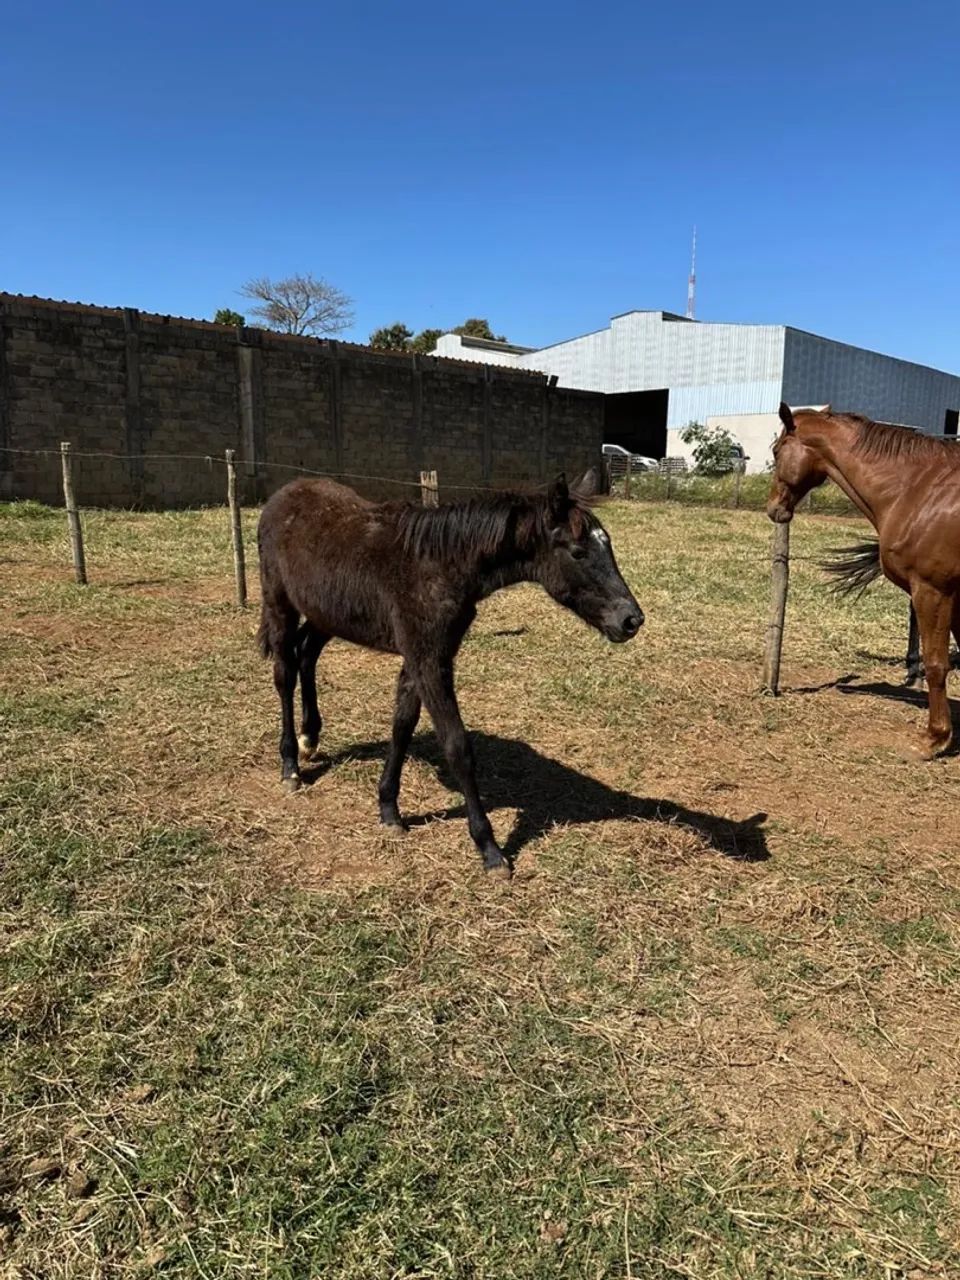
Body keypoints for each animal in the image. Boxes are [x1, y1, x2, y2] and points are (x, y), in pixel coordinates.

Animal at [257, 473, 644, 876]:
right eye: (578, 552)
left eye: (607, 544)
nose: (631, 620)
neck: (440, 565)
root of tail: (283, 495)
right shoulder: (428, 659)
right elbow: (457, 746)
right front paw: (489, 849)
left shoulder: (424, 656)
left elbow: (403, 725)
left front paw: (389, 810)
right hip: (279, 604)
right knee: (284, 673)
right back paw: (290, 766)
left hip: (326, 612)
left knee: (307, 654)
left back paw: (310, 737)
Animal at [769, 403, 960, 756]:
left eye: (777, 450)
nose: (774, 508)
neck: (919, 489)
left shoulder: (933, 592)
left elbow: (936, 662)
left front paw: (936, 737)